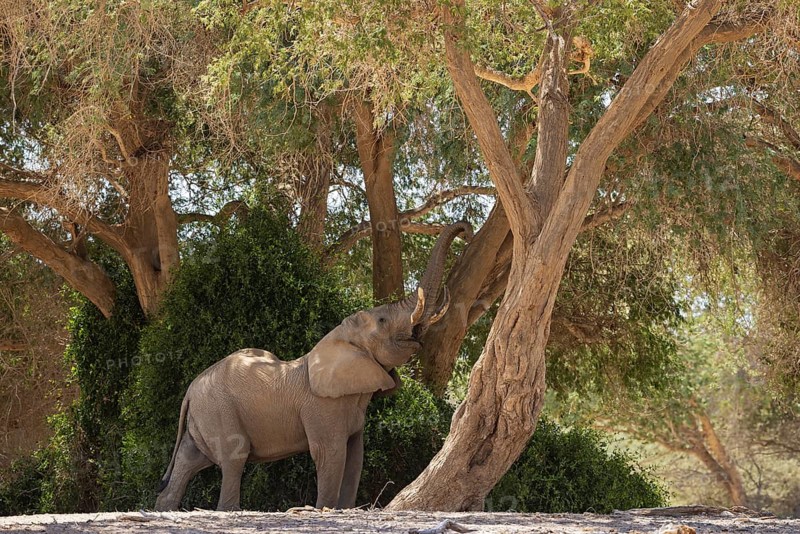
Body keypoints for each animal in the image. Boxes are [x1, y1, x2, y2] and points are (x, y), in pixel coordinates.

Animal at [154, 221, 473, 512]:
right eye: (382, 320)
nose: (467, 230)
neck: (339, 339)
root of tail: (190, 391)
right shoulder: (322, 406)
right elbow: (330, 453)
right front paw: (326, 509)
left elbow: (355, 455)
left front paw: (343, 509)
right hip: (219, 410)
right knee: (234, 457)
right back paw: (228, 510)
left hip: (204, 416)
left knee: (188, 460)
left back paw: (163, 508)